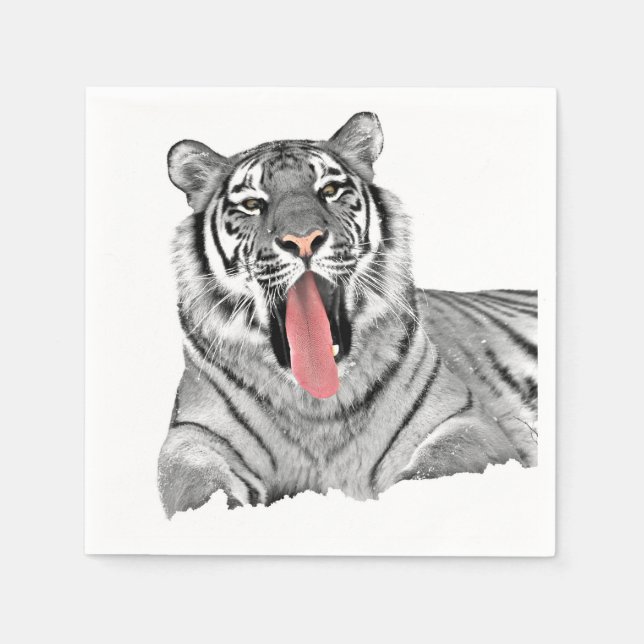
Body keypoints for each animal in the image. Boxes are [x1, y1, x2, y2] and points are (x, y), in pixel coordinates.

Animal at [158, 112, 538, 518]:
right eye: (252, 204)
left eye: (329, 190)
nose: (303, 239)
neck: (316, 404)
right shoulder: (194, 434)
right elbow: (194, 485)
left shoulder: (462, 420)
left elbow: (437, 466)